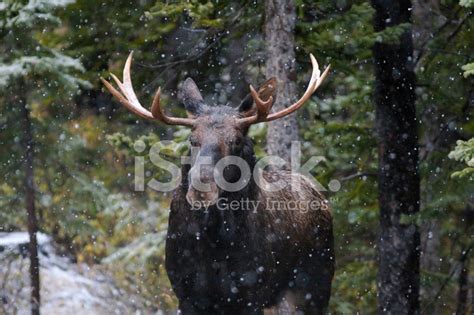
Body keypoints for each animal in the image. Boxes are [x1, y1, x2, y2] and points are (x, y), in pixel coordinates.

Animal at [102, 53, 336, 314]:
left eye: (236, 140)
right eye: (192, 139)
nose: (201, 189)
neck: (213, 246)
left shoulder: (251, 294)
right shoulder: (187, 294)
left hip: (313, 285)